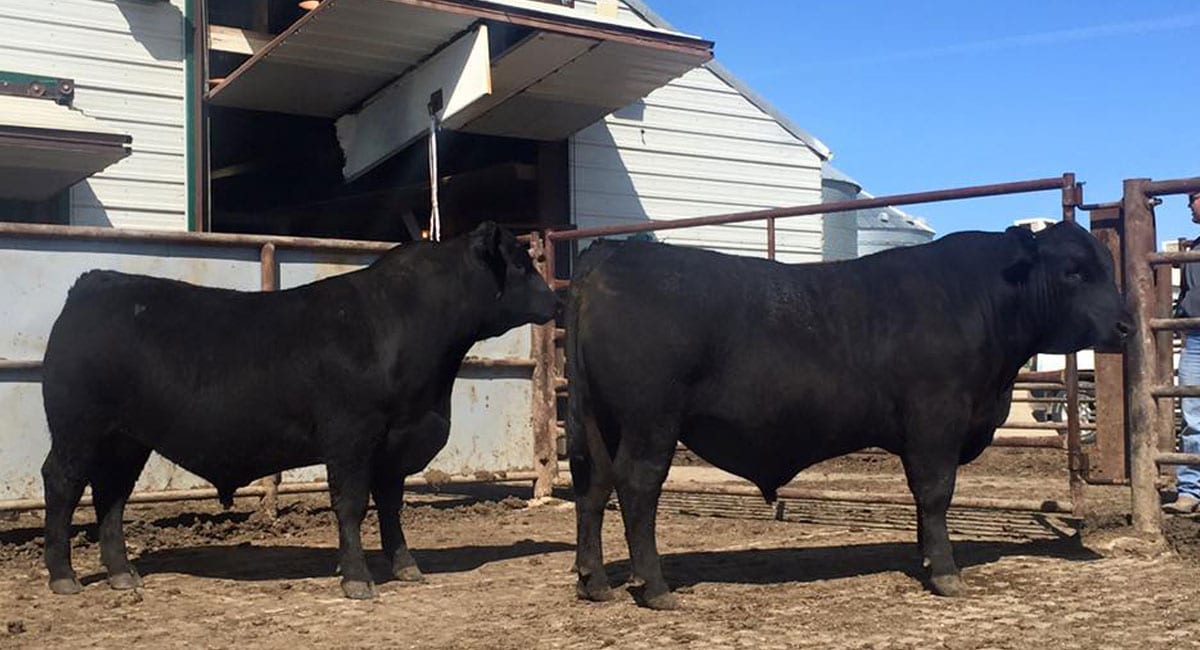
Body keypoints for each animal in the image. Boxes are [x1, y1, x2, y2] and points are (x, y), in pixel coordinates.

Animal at [39, 221, 557, 599]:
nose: (554, 298)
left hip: (126, 439)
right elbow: (350, 504)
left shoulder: (395, 445)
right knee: (63, 484)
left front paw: (406, 567)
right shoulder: (350, 435)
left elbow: (390, 506)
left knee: (111, 496)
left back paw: (121, 573)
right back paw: (63, 577)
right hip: (77, 428)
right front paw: (357, 578)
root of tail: (94, 283)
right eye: (520, 263)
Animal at [565, 221, 1131, 609]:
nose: (1126, 325)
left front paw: (926, 557)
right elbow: (936, 493)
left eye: (1105, 267)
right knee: (637, 487)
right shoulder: (936, 419)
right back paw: (655, 587)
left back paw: (595, 582)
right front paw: (946, 573)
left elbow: (922, 499)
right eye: (1074, 271)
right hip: (651, 421)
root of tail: (613, 251)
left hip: (598, 422)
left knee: (593, 487)